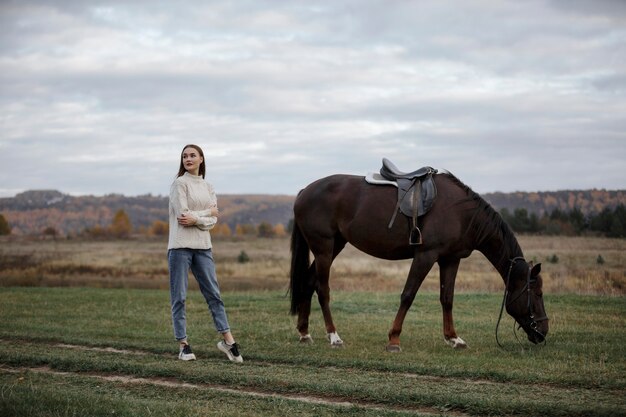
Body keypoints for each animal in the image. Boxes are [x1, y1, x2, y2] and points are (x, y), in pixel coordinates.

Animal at [288, 171, 544, 350]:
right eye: (537, 294)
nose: (543, 332)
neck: (462, 214)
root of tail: (304, 191)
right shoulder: (426, 256)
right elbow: (408, 295)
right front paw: (394, 339)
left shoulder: (450, 260)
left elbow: (447, 298)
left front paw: (454, 338)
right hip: (324, 248)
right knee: (322, 289)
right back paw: (334, 336)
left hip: (334, 246)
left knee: (309, 282)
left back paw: (304, 333)